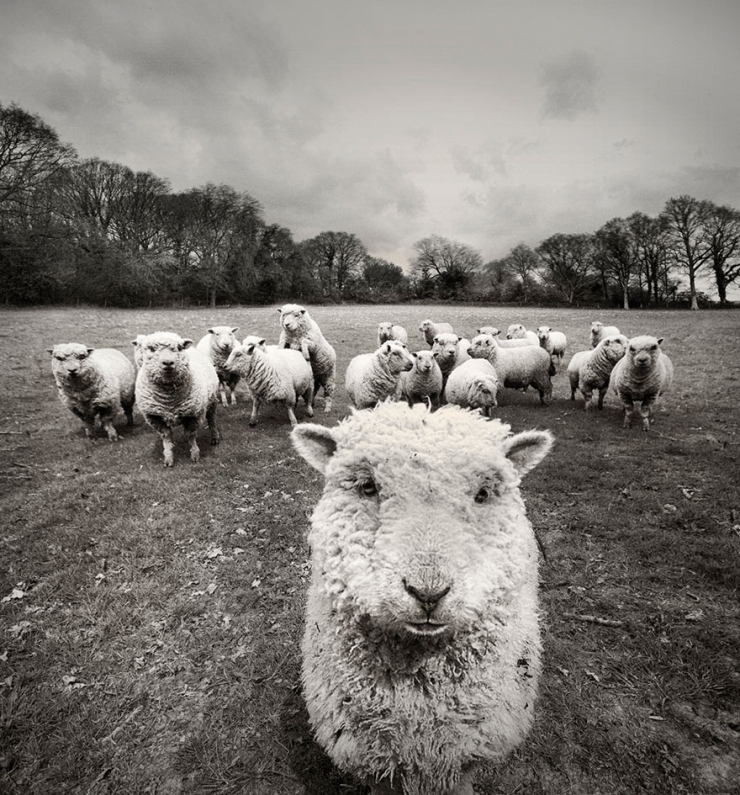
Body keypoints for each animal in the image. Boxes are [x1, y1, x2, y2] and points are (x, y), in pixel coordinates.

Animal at [135, 332, 221, 466]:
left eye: (179, 348)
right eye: (151, 349)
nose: (168, 362)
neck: (169, 399)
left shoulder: (193, 415)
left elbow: (191, 435)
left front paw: (195, 454)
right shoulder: (155, 418)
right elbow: (166, 437)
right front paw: (168, 457)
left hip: (212, 402)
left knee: (212, 420)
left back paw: (215, 438)